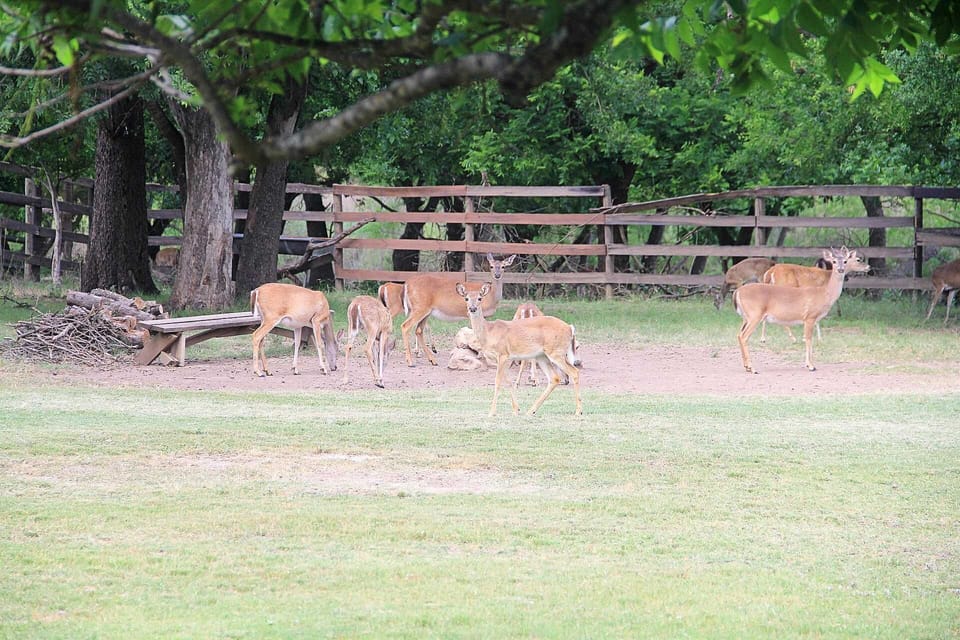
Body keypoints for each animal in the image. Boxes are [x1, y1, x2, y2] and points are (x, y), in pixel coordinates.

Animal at [457, 282, 582, 416]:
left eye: (480, 298)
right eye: (466, 298)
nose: (472, 308)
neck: (489, 332)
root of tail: (570, 327)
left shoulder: (503, 354)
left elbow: (497, 382)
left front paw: (492, 412)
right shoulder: (502, 359)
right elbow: (509, 382)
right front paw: (516, 409)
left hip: (555, 351)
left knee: (574, 371)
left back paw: (578, 411)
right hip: (542, 356)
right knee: (554, 378)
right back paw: (531, 410)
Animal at [733, 246, 866, 374]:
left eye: (845, 261)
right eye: (833, 261)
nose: (840, 269)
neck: (824, 294)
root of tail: (737, 292)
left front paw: (810, 364)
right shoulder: (810, 316)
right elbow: (808, 339)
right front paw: (811, 366)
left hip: (746, 317)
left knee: (739, 334)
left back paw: (747, 367)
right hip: (754, 315)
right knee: (744, 336)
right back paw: (753, 368)